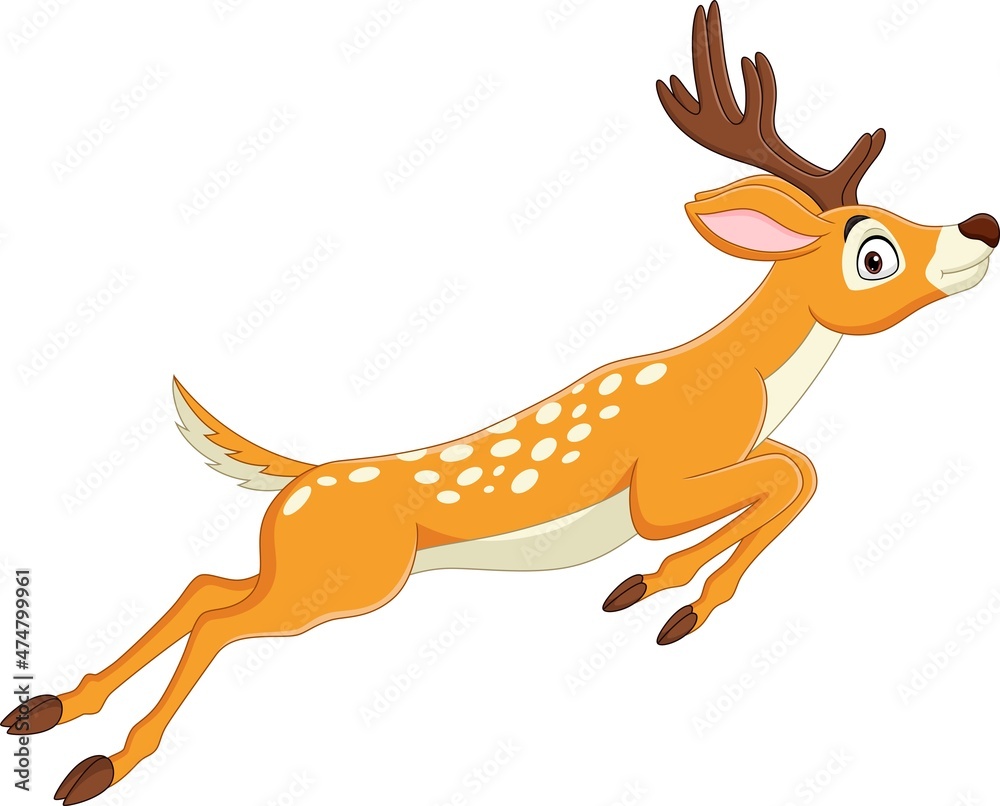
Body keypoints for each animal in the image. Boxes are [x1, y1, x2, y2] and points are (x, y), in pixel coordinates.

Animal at [5, 3, 995, 803]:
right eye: (873, 251)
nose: (979, 227)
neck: (741, 379)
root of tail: (296, 479)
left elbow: (795, 473)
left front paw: (650, 592)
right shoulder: (660, 482)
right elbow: (794, 473)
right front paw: (671, 599)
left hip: (305, 570)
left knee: (204, 584)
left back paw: (48, 712)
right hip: (347, 583)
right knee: (219, 618)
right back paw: (99, 767)